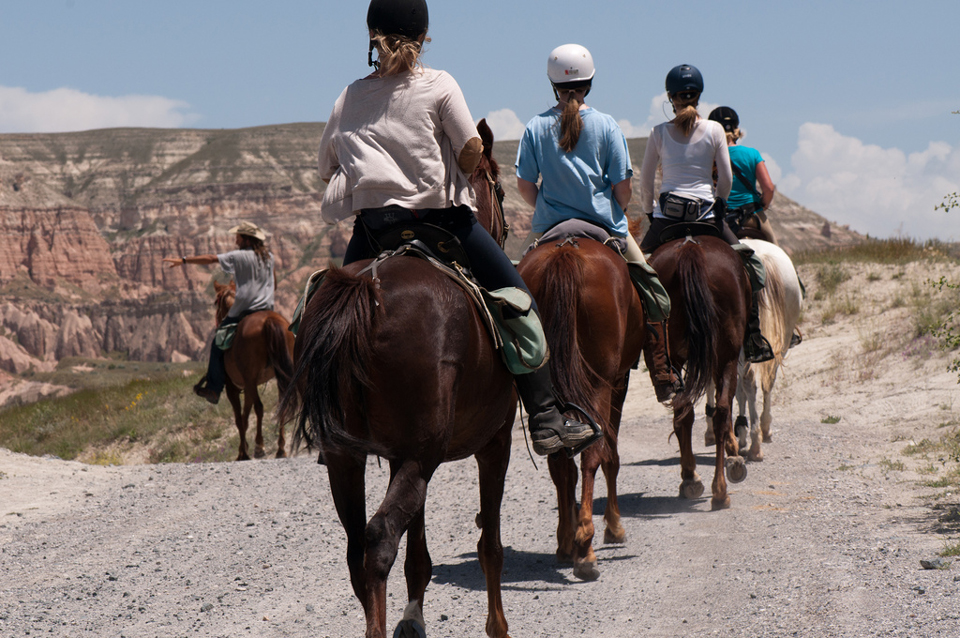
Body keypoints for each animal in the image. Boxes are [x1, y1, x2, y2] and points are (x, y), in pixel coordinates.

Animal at [212, 282, 294, 462]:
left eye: (216, 302)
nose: (217, 322)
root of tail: (269, 320)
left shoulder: (233, 388)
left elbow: (239, 419)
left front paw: (243, 453)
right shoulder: (248, 387)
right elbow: (245, 418)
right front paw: (243, 450)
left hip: (250, 380)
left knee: (260, 408)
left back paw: (259, 447)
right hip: (280, 376)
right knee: (282, 405)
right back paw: (280, 449)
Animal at [278, 121, 516, 638]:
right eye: (502, 189)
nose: (506, 230)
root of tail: (364, 286)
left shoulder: (402, 455)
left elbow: (419, 554)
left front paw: (414, 620)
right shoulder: (494, 442)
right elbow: (489, 544)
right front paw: (498, 626)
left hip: (350, 458)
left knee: (357, 547)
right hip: (420, 456)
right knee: (379, 539)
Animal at [516, 236, 644, 584]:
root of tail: (566, 250)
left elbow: (564, 466)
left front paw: (565, 540)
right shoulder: (619, 383)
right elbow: (611, 454)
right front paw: (614, 527)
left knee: (559, 457)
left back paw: (569, 543)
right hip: (599, 382)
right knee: (593, 454)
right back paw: (586, 548)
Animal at [648, 235, 752, 510]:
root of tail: (690, 247)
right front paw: (734, 454)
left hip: (681, 358)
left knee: (686, 412)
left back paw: (695, 482)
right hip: (725, 355)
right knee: (718, 411)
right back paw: (716, 489)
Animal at [704, 240, 804, 464]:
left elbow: (726, 388)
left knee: (751, 383)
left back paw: (755, 441)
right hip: (780, 340)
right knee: (766, 381)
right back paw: (760, 435)